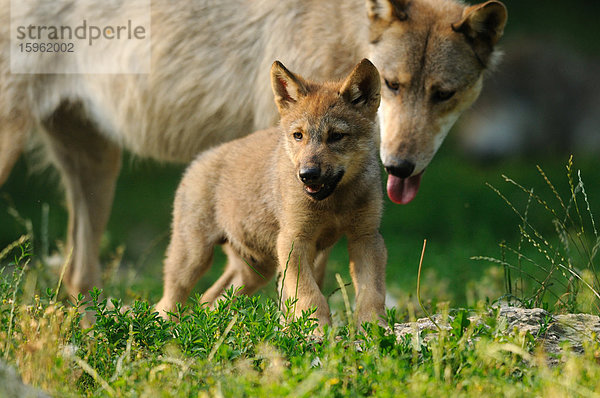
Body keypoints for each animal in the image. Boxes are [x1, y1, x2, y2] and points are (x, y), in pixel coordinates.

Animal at [0, 0, 506, 296]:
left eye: (444, 94)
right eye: (394, 85)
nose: (400, 166)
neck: (343, 29)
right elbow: (307, 279)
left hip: (99, 167)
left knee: (77, 277)